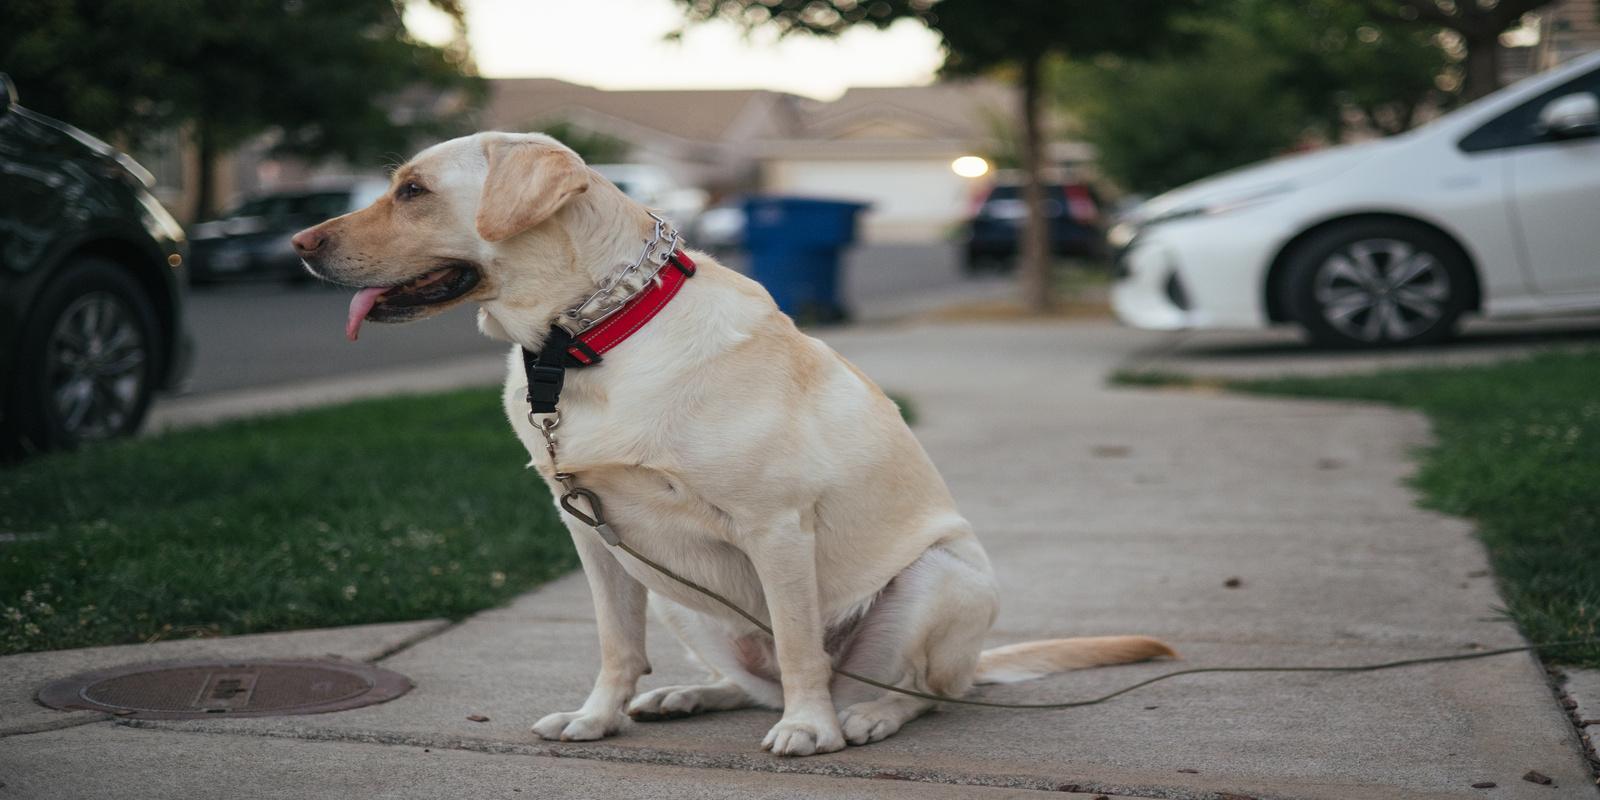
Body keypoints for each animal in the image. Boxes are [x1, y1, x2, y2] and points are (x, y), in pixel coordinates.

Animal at [297, 132, 1177, 755]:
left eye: (413, 192)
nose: (300, 245)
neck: (584, 341)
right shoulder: (588, 530)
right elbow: (616, 643)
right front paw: (599, 717)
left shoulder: (775, 525)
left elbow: (799, 647)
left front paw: (811, 729)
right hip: (676, 592)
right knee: (748, 678)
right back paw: (685, 696)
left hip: (940, 577)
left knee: (916, 689)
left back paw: (867, 717)